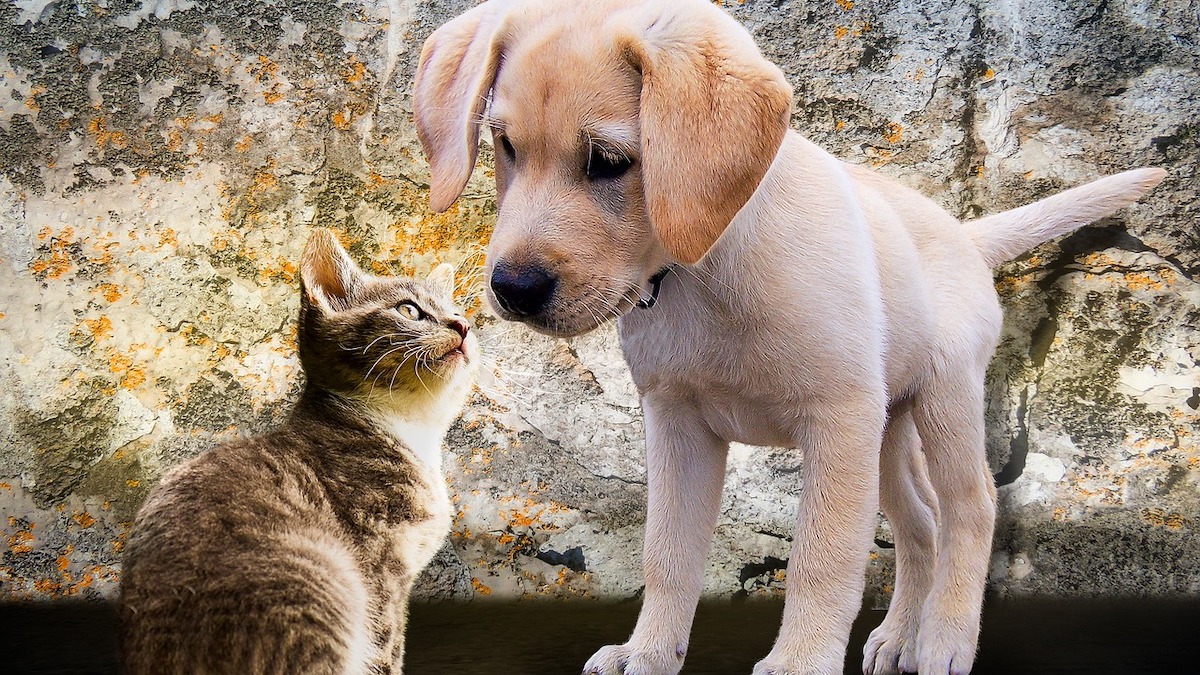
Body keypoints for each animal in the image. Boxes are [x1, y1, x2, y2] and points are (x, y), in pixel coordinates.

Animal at [120, 228, 477, 667]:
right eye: (409, 310)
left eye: (457, 309)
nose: (463, 324)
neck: (412, 433)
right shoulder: (380, 570)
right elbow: (385, 650)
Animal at [412, 1, 1161, 672]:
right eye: (505, 145)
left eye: (608, 161)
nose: (513, 288)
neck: (703, 271)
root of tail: (962, 231)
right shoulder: (679, 424)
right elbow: (668, 553)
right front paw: (647, 653)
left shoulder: (837, 420)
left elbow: (821, 561)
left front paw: (799, 662)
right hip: (887, 429)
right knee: (920, 523)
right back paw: (899, 638)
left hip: (942, 399)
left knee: (970, 507)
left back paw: (945, 642)